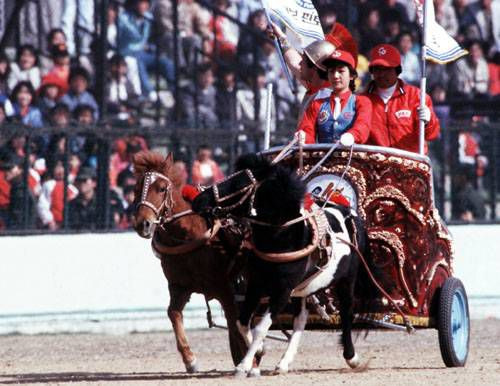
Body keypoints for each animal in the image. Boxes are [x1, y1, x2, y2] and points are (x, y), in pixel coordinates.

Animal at [133, 151, 246, 370]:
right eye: (136, 189)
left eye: (161, 188)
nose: (143, 224)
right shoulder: (179, 286)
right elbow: (173, 313)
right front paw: (190, 359)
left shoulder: (224, 287)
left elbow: (234, 319)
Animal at [193, 155, 366, 376]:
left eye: (239, 185)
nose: (198, 200)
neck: (281, 235)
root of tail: (348, 211)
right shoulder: (256, 284)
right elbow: (242, 321)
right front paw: (258, 351)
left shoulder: (282, 290)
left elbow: (260, 327)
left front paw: (244, 365)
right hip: (303, 288)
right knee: (301, 319)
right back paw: (284, 363)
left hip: (346, 280)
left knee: (346, 312)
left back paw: (352, 357)